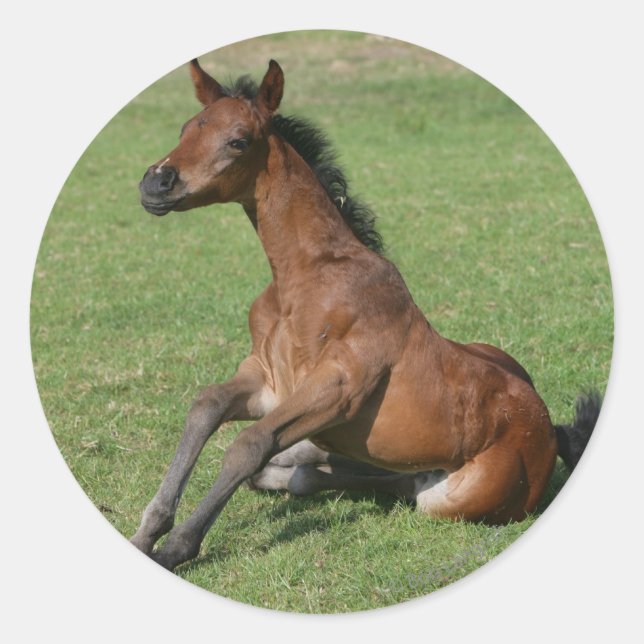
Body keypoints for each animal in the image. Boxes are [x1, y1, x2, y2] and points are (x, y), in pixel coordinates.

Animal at [132, 58, 600, 571]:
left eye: (238, 140)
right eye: (185, 128)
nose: (156, 183)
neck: (306, 277)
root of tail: (547, 428)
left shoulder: (338, 388)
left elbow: (247, 445)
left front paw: (176, 547)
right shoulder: (267, 381)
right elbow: (206, 407)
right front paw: (147, 531)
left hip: (447, 498)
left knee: (399, 484)